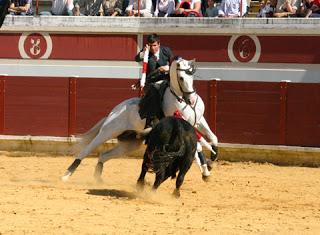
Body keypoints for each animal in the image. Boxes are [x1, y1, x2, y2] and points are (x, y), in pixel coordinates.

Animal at [62, 57, 218, 182]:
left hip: (130, 144)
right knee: (87, 150)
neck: (180, 98)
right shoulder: (186, 126)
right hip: (108, 131)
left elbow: (212, 137)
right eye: (181, 78)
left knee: (104, 155)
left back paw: (97, 178)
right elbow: (198, 147)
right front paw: (206, 171)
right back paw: (66, 175)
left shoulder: (199, 121)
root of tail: (114, 111)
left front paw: (212, 160)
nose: (191, 100)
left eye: (192, 77)